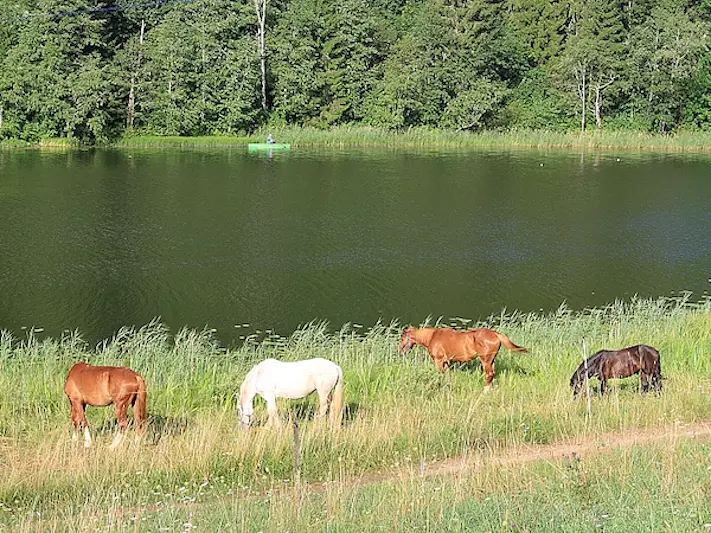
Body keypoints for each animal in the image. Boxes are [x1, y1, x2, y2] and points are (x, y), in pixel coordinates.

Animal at [400, 326, 528, 388]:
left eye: (402, 337)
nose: (401, 350)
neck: (432, 337)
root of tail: (496, 334)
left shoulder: (438, 360)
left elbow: (440, 374)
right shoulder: (446, 362)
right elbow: (447, 376)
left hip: (485, 360)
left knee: (489, 374)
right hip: (492, 360)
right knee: (492, 374)